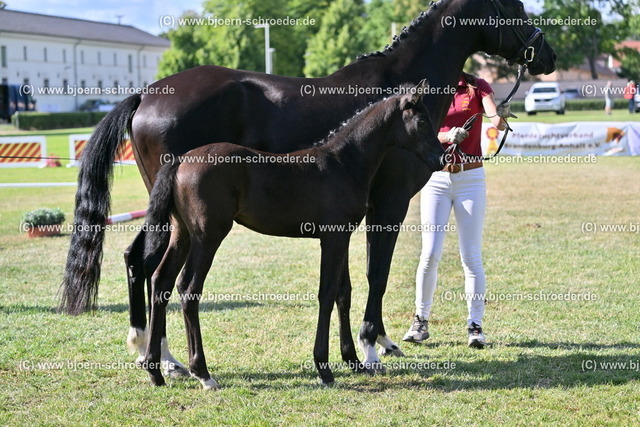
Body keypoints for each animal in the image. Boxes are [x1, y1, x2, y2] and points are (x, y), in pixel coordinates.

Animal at [141, 83, 444, 388]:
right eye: (421, 122)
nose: (442, 158)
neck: (343, 163)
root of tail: (180, 161)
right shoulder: (332, 238)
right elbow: (326, 293)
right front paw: (324, 368)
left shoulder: (342, 237)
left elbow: (343, 293)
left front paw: (353, 361)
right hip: (208, 236)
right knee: (189, 289)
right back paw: (202, 372)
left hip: (182, 234)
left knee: (160, 281)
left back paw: (155, 370)